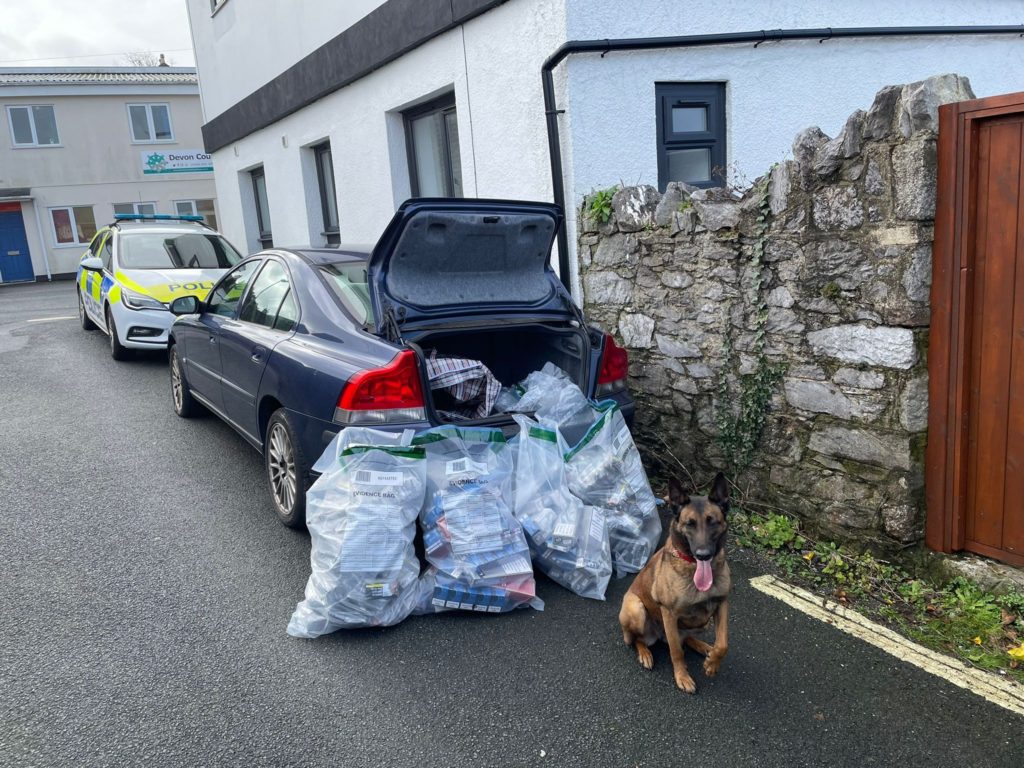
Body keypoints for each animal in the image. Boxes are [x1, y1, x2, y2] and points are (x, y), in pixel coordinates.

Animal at [618, 473, 733, 696]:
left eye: (712, 522)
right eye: (690, 524)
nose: (703, 555)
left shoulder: (722, 603)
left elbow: (723, 643)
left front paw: (712, 663)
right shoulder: (669, 613)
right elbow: (676, 651)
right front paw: (682, 676)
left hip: (702, 623)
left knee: (686, 638)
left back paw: (704, 647)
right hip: (637, 609)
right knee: (637, 639)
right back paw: (645, 653)